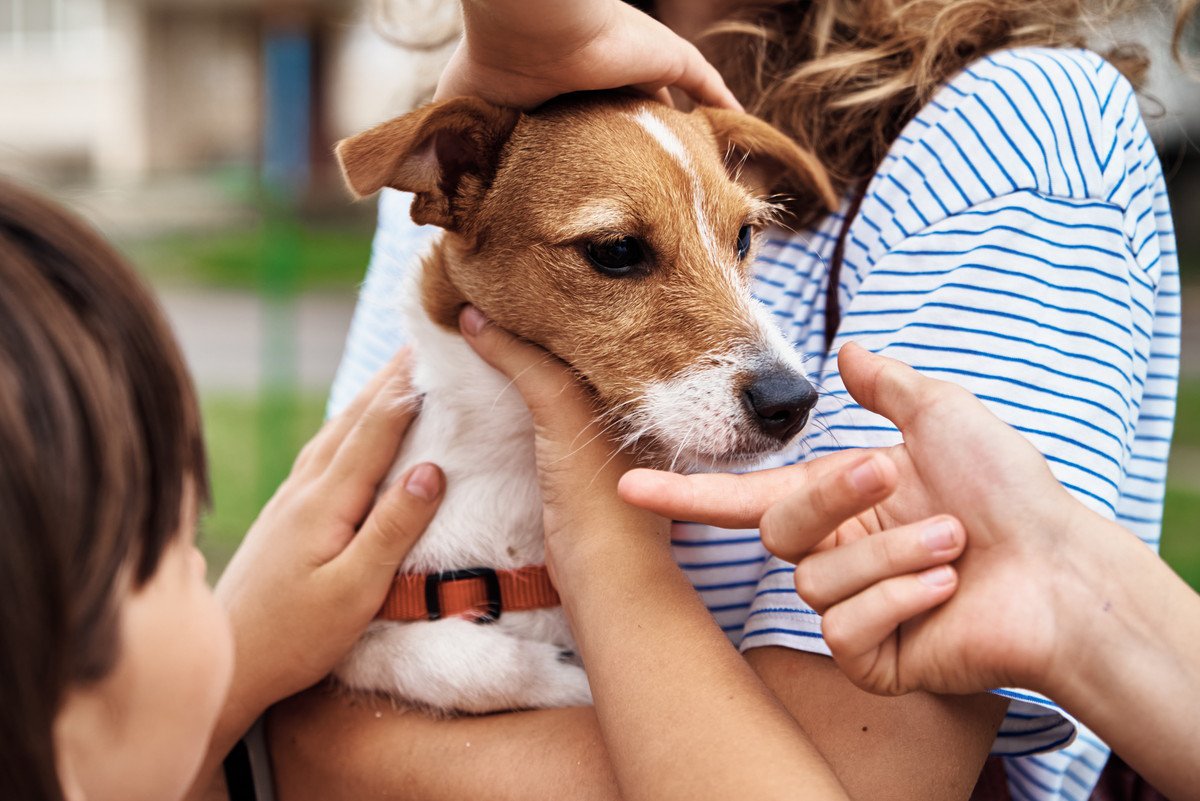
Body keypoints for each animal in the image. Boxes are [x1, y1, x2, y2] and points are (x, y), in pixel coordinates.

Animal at [328, 92, 835, 714]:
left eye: (743, 236)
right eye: (616, 249)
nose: (793, 401)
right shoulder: (353, 639)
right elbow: (467, 662)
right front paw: (568, 681)